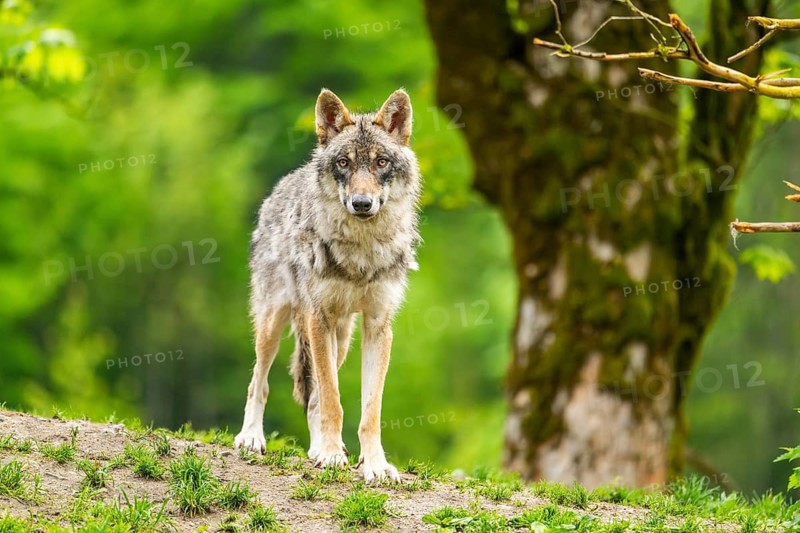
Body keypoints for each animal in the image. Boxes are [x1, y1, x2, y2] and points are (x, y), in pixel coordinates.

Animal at [234, 88, 421, 483]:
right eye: (344, 163)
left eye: (381, 162)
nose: (362, 203)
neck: (361, 253)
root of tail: (286, 181)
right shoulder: (318, 318)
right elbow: (333, 400)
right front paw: (334, 456)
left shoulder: (378, 326)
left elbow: (369, 410)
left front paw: (375, 464)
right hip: (276, 322)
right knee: (261, 380)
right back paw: (252, 438)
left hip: (343, 336)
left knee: (315, 397)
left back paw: (318, 448)